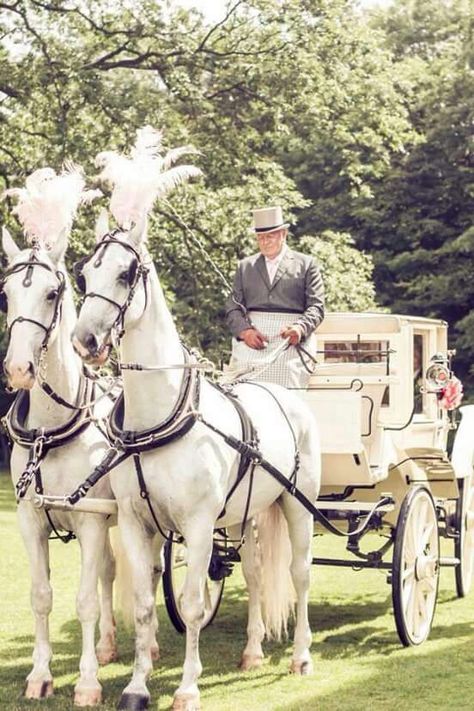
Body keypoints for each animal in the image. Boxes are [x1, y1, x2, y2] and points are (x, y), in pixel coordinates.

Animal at [71, 213, 322, 711]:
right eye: (85, 274)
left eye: (127, 273)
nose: (85, 340)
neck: (160, 418)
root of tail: (286, 395)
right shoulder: (136, 523)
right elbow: (144, 605)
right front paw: (136, 687)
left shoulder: (200, 524)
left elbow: (190, 606)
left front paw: (187, 687)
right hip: (246, 514)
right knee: (255, 572)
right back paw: (252, 651)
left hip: (297, 505)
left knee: (299, 574)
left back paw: (301, 656)